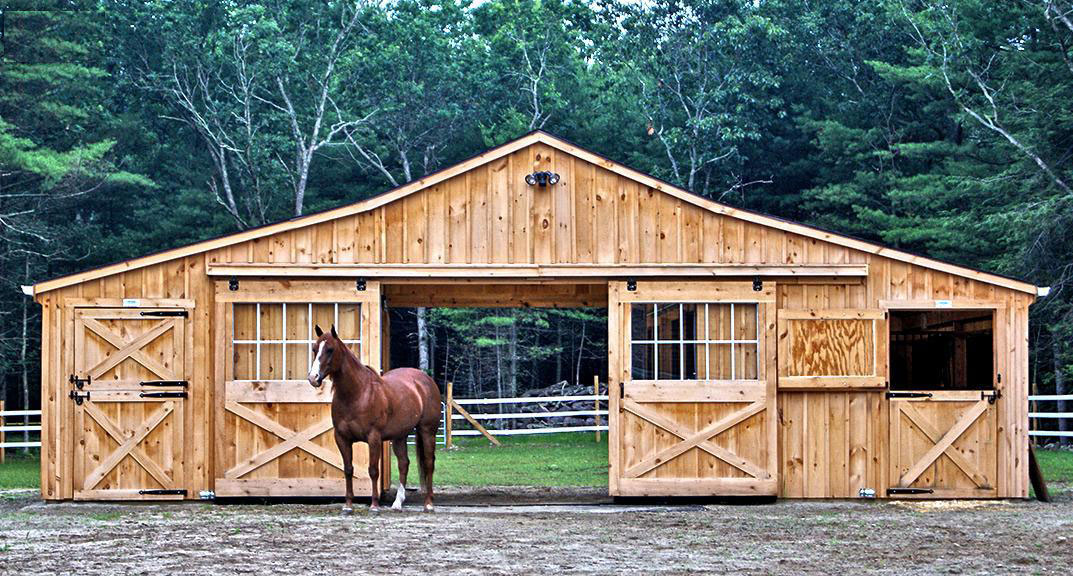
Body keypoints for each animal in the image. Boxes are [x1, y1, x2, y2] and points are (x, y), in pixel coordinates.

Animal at [309, 323, 442, 512]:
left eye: (330, 349)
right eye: (314, 349)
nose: (313, 378)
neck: (357, 394)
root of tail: (426, 380)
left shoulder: (374, 438)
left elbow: (373, 470)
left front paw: (374, 505)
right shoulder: (342, 438)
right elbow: (348, 469)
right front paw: (348, 506)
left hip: (427, 431)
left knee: (429, 463)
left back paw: (428, 504)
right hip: (400, 436)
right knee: (404, 463)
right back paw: (397, 503)